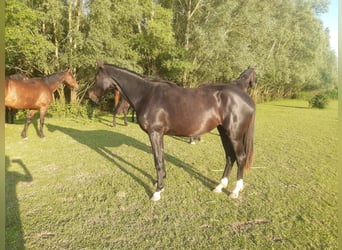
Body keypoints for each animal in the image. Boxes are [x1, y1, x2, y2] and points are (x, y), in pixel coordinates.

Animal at [89, 62, 255, 201]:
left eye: (96, 77)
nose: (90, 95)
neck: (146, 94)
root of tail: (247, 98)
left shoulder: (154, 133)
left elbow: (157, 161)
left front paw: (157, 192)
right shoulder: (159, 134)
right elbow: (161, 158)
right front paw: (160, 183)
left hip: (234, 135)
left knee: (240, 158)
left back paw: (235, 191)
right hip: (223, 132)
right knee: (230, 157)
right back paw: (219, 187)